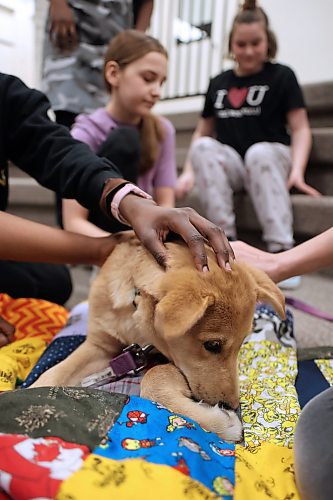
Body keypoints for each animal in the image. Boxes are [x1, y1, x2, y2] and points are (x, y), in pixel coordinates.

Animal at [32, 234, 284, 442]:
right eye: (212, 345)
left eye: (241, 344)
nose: (232, 405)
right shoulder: (99, 346)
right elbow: (51, 374)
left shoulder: (163, 361)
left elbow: (153, 379)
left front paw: (221, 423)